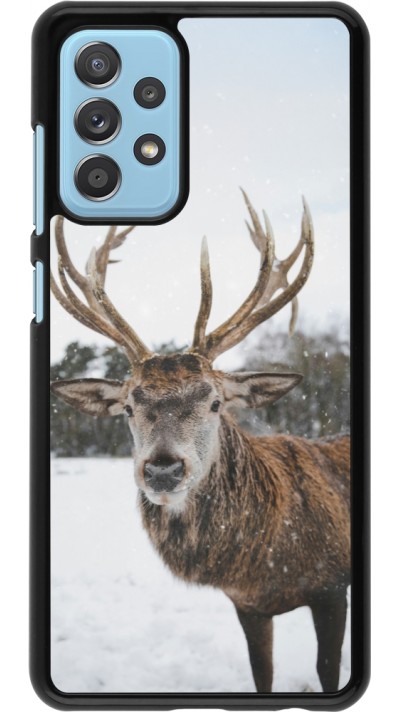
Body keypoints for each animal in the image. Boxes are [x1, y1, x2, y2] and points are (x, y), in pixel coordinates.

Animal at [50, 191, 350, 693]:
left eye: (214, 402)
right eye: (128, 407)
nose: (163, 469)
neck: (267, 563)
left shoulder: (332, 587)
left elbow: (328, 670)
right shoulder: (247, 604)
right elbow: (262, 674)